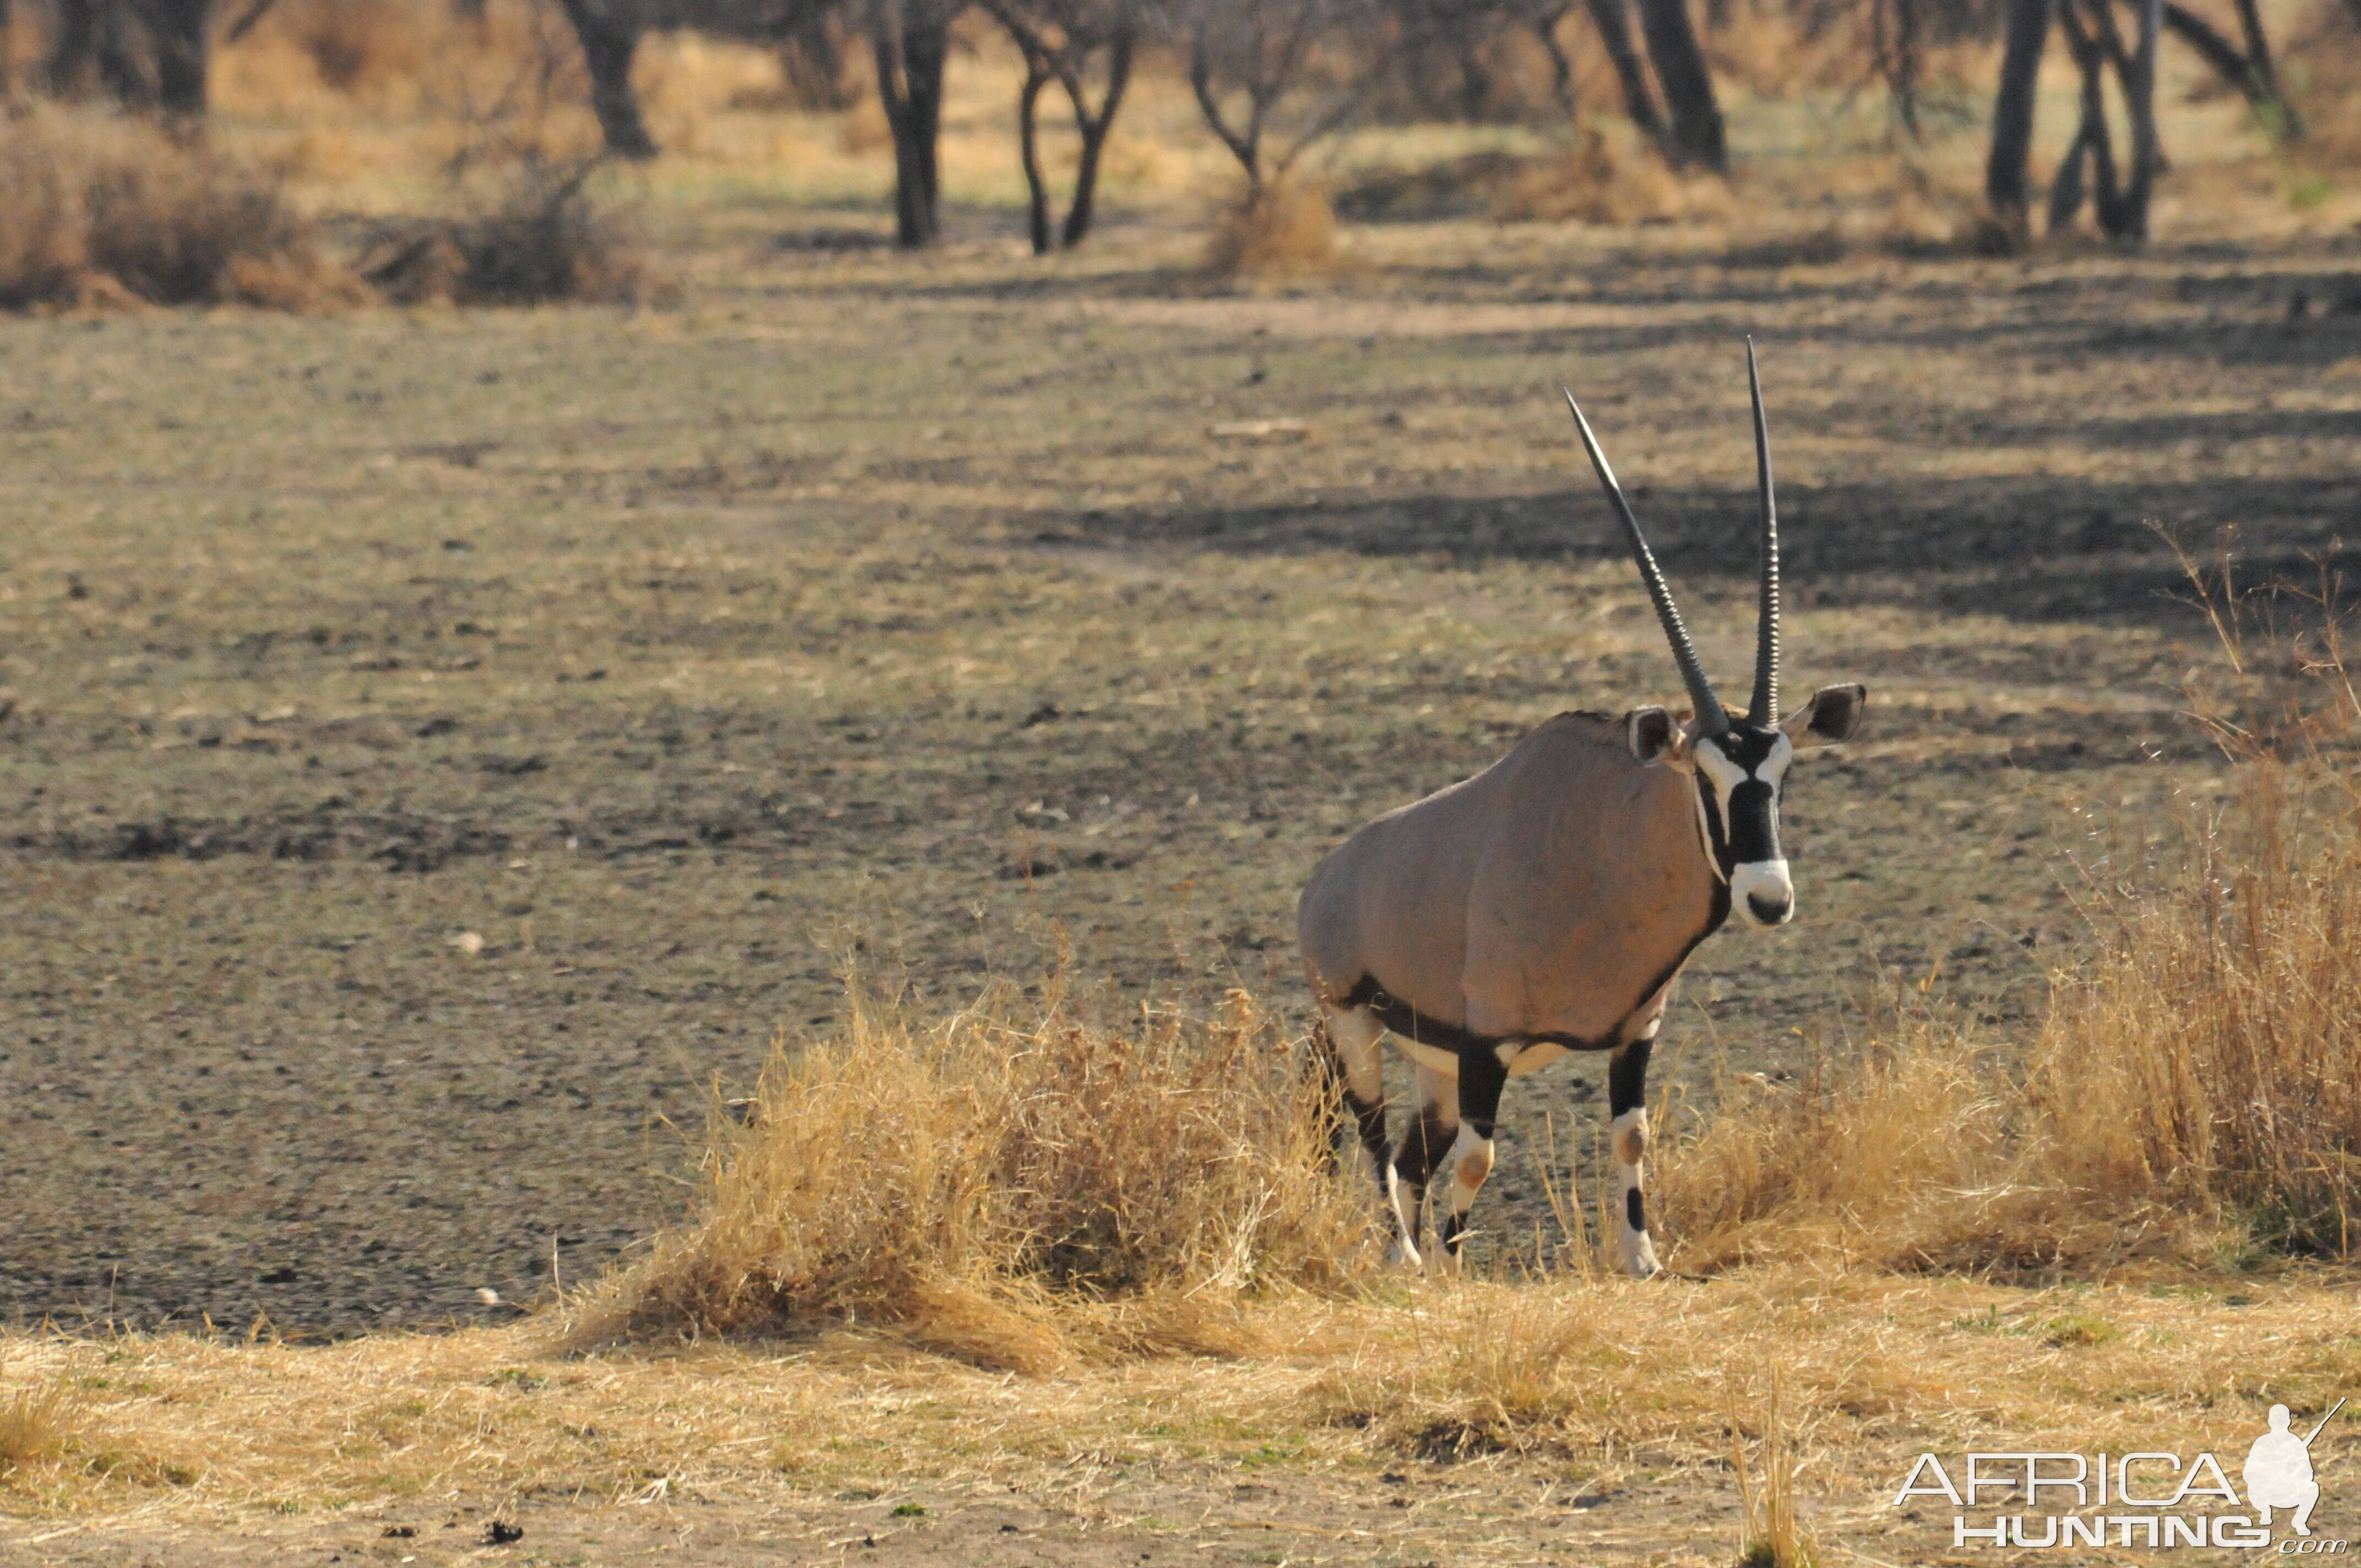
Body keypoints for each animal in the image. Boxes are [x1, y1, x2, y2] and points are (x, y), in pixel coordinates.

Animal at [1293, 342, 1860, 1275]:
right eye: (1705, 779)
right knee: (1376, 1139)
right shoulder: (1487, 1045)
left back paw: (1404, 1263)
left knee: (1411, 1155)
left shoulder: (1635, 1036)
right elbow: (1482, 1160)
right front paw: (1458, 1270)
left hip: (1431, 1062)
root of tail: (1328, 877)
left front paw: (1643, 1262)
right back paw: (1410, 1260)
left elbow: (1631, 1140)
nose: (1769, 898)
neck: (1602, 852)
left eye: (1780, 774)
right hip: (1355, 1025)